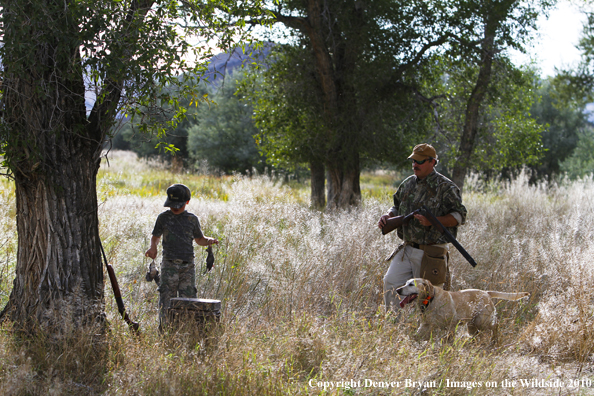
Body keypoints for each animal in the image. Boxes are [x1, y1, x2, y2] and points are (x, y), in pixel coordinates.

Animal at [396, 278, 524, 344]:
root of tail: (486, 292)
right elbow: (416, 336)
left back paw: (495, 339)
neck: (431, 300)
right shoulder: (425, 325)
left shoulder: (451, 324)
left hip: (482, 320)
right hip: (472, 325)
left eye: (411, 284)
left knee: (495, 325)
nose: (398, 289)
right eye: (405, 283)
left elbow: (449, 339)